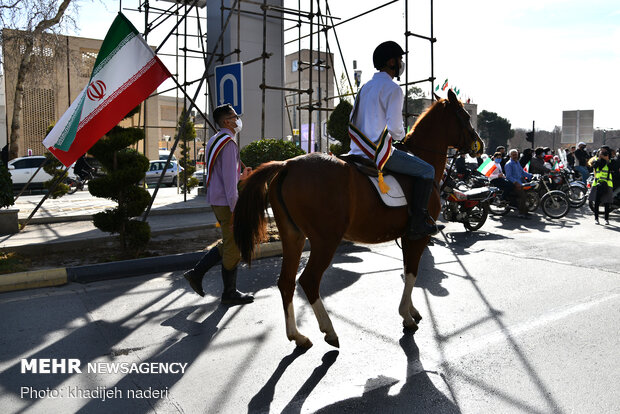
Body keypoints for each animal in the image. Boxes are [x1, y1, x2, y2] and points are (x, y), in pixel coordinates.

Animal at [235, 89, 482, 348]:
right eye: (466, 117)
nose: (480, 144)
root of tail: (287, 165)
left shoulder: (407, 237)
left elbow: (408, 270)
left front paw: (411, 309)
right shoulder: (417, 236)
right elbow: (412, 273)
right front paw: (406, 315)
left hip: (293, 236)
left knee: (286, 282)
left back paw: (297, 335)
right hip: (325, 241)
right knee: (309, 281)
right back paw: (329, 331)